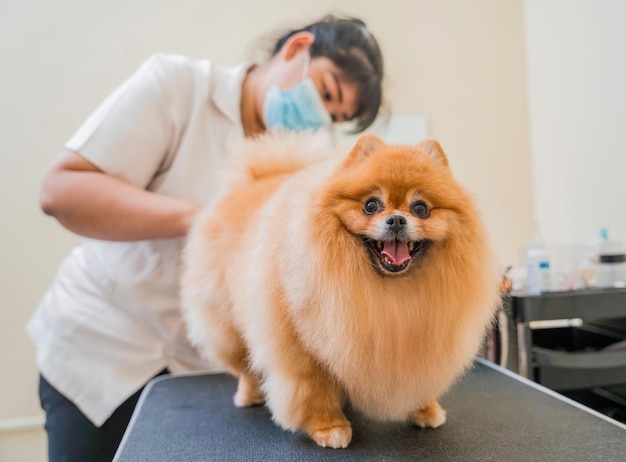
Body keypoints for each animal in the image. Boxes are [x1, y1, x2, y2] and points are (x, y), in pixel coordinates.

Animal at [179, 132, 498, 450]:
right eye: (371, 205)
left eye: (420, 208)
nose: (396, 219)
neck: (387, 289)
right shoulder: (303, 346)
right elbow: (314, 389)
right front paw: (329, 427)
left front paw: (424, 409)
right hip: (228, 327)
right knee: (243, 366)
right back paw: (250, 395)